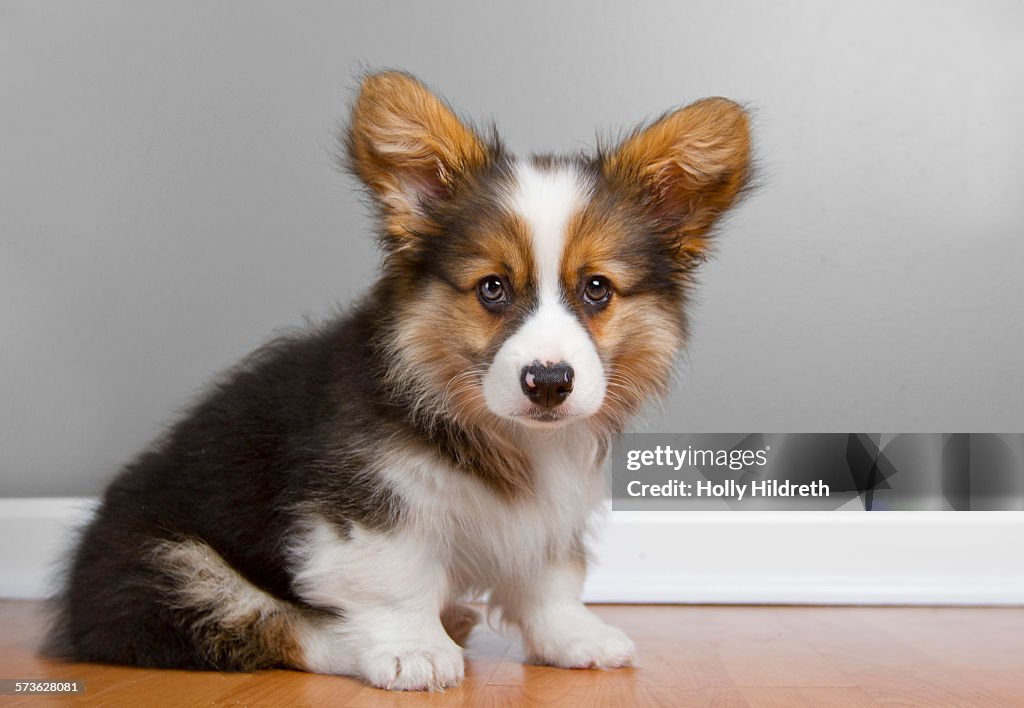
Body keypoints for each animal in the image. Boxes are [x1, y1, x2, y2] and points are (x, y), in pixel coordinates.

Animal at [46, 72, 753, 692]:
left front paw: (574, 639)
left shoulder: (550, 513)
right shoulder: (364, 505)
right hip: (171, 568)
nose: (549, 382)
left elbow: (549, 579)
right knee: (273, 627)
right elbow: (394, 582)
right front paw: (414, 651)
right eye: (492, 288)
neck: (505, 432)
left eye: (597, 289)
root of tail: (75, 600)